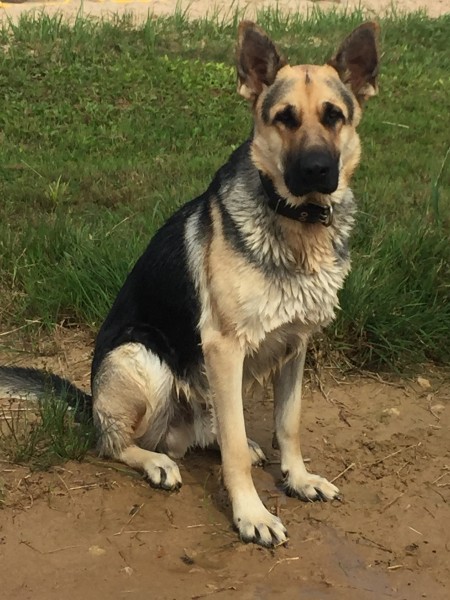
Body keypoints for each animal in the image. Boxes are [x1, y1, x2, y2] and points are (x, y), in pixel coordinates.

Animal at [0, 21, 380, 547]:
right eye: (284, 118)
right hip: (143, 358)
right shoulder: (222, 346)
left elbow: (289, 423)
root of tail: (93, 403)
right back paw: (155, 460)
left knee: (216, 426)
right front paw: (250, 514)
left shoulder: (295, 345)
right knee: (113, 443)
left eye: (334, 116)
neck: (296, 224)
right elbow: (235, 452)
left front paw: (298, 479)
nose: (317, 171)